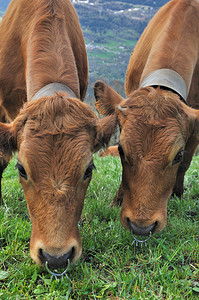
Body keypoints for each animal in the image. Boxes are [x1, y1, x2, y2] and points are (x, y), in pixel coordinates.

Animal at [94, 0, 199, 238]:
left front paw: (177, 195)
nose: (141, 226)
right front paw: (118, 200)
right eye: (121, 150)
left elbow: (187, 162)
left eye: (177, 155)